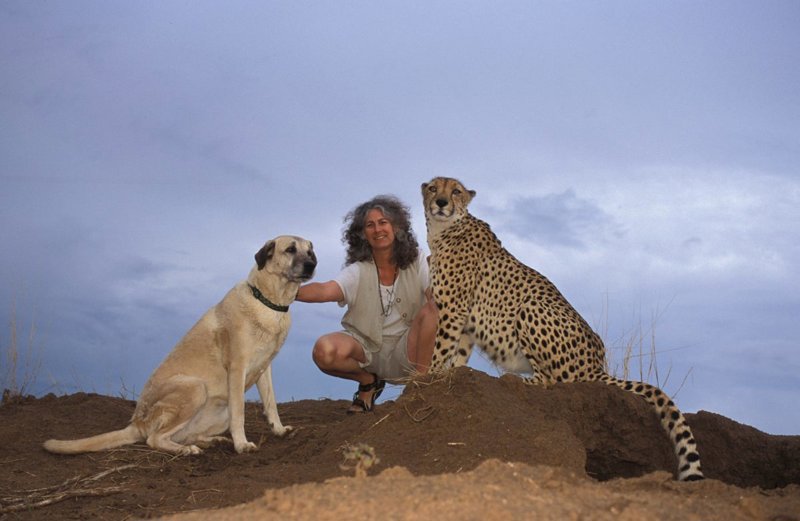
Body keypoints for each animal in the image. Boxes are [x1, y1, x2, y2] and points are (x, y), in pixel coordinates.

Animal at [42, 236, 314, 456]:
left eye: (310, 251)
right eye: (290, 249)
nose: (313, 264)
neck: (269, 302)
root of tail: (136, 424)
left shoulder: (264, 369)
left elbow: (271, 404)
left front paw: (279, 430)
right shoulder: (238, 369)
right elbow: (241, 414)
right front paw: (242, 445)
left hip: (216, 409)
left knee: (182, 435)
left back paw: (210, 441)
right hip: (195, 388)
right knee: (154, 439)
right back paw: (187, 450)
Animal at [422, 177, 704, 482]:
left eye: (456, 191)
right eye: (433, 189)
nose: (441, 203)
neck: (444, 229)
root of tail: (596, 365)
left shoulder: (453, 309)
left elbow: (441, 348)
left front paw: (426, 376)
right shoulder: (463, 319)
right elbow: (458, 352)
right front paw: (452, 373)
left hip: (531, 307)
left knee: (552, 380)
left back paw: (515, 380)